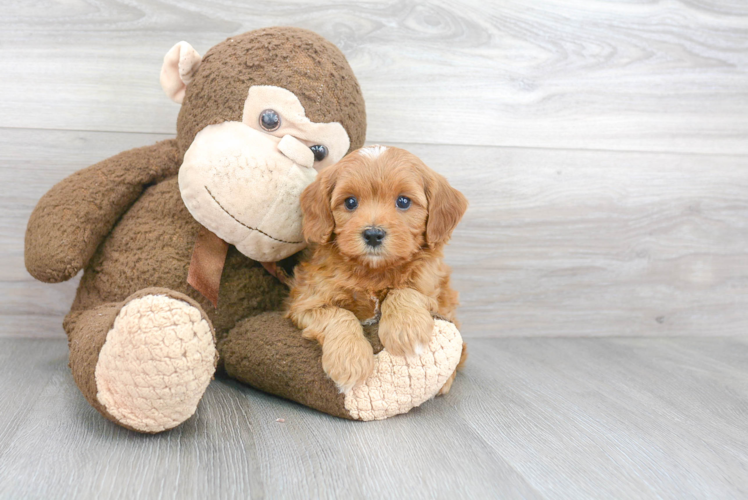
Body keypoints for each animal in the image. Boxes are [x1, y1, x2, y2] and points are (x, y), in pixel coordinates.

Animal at [286, 146, 468, 392]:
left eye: (403, 201)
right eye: (350, 202)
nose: (373, 234)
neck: (374, 272)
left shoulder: (432, 289)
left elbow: (405, 291)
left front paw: (406, 329)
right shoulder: (306, 301)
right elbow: (339, 314)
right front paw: (349, 359)